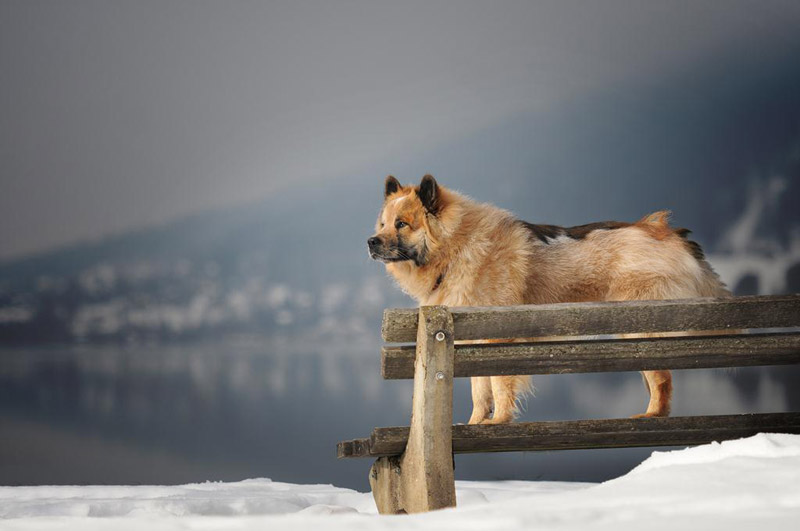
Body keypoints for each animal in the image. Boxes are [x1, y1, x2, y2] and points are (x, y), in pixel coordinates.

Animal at [368, 177, 732, 426]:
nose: (371, 242)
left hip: (641, 331)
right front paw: (475, 425)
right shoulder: (469, 341)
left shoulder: (498, 337)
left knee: (662, 380)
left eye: (402, 224)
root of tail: (669, 232)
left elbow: (498, 385)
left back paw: (651, 416)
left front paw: (498, 422)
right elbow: (479, 390)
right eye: (383, 224)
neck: (457, 246)